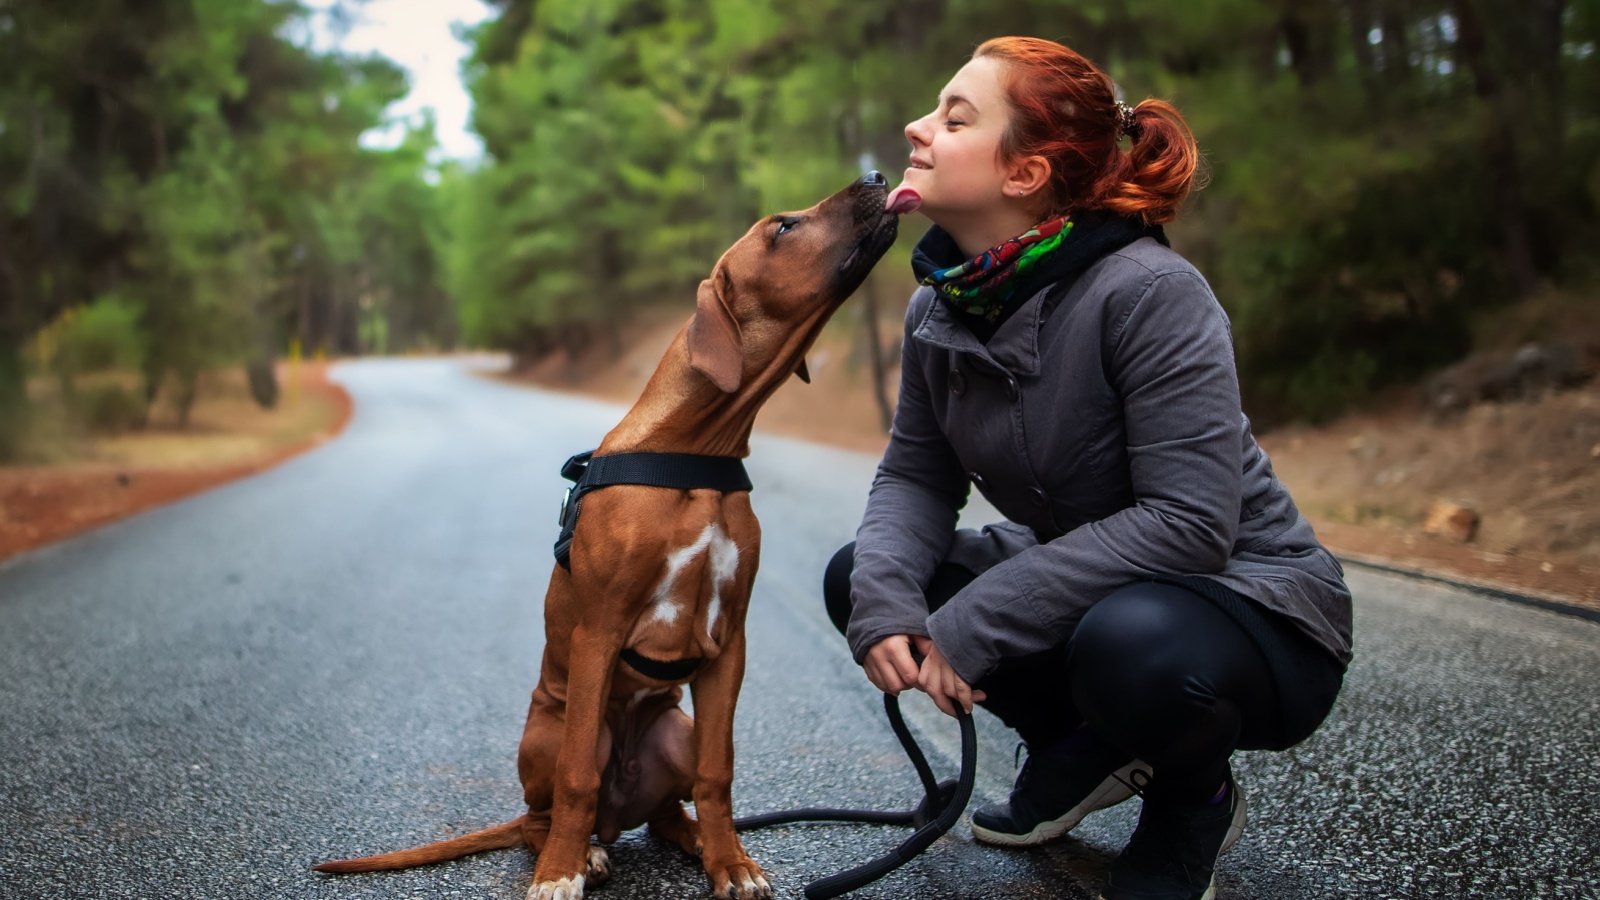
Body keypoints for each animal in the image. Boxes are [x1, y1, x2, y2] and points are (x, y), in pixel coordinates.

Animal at [315, 171, 902, 890]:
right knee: (548, 810)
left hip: (676, 730)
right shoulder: (598, 633)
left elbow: (719, 774)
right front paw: (557, 874)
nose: (877, 175)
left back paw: (693, 839)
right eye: (783, 227)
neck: (693, 451)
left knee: (668, 810)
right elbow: (576, 780)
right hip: (556, 731)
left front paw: (731, 862)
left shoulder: (730, 643)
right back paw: (579, 851)